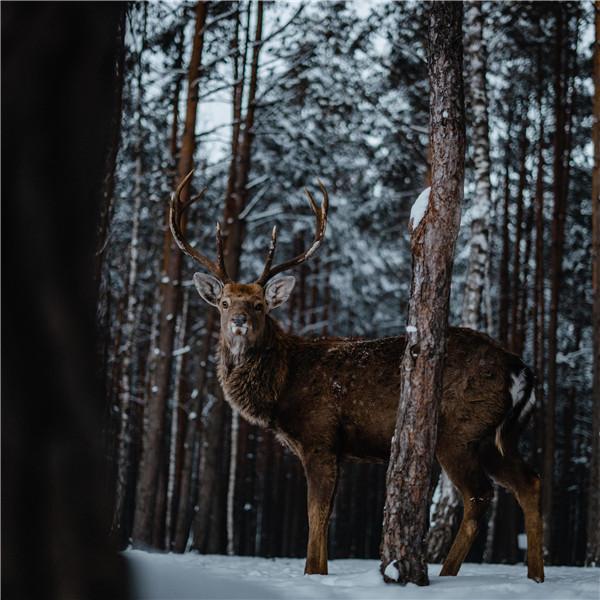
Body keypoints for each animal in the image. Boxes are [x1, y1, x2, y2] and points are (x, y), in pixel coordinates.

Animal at [169, 169, 544, 580]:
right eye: (224, 302)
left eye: (259, 304)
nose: (238, 320)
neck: (282, 389)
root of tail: (519, 369)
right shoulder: (337, 448)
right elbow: (325, 515)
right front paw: (320, 572)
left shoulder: (319, 436)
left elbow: (315, 514)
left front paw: (312, 573)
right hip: (497, 435)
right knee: (529, 481)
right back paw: (535, 575)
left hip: (459, 431)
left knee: (479, 496)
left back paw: (446, 573)